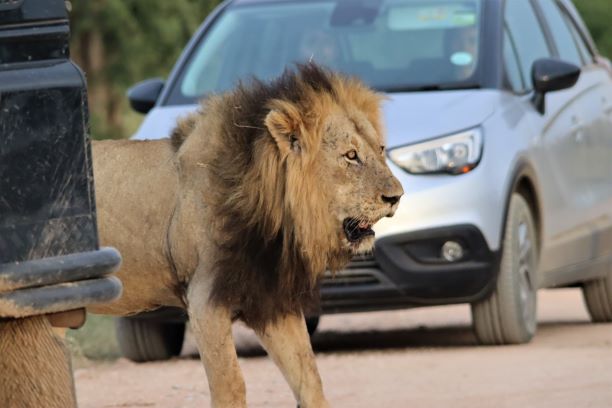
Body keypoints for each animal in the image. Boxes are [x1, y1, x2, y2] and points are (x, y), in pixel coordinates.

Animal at [91, 64, 404, 408]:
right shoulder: (204, 301)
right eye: (350, 156)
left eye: (380, 149)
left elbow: (310, 379)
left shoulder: (272, 300)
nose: (397, 196)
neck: (273, 217)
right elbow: (231, 385)